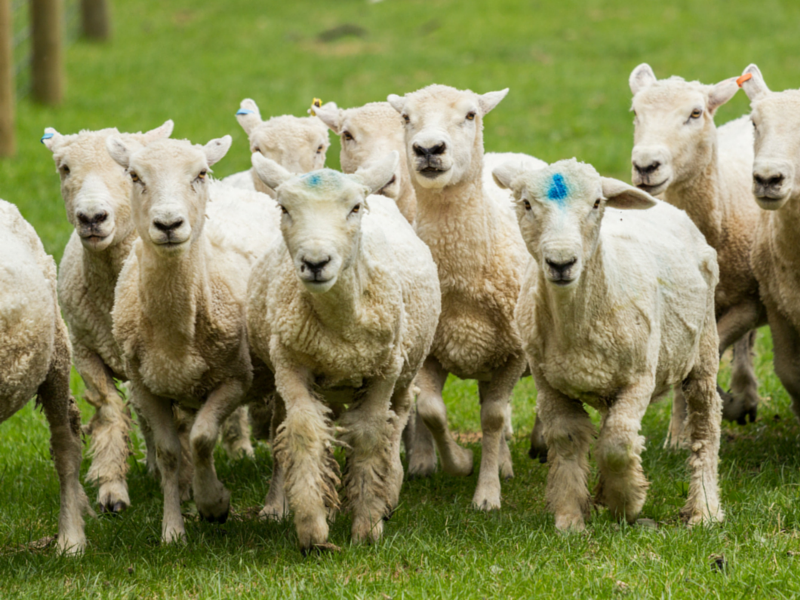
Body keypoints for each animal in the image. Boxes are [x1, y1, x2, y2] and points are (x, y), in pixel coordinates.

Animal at [107, 134, 277, 543]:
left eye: (199, 174)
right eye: (134, 176)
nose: (168, 224)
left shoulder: (236, 377)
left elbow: (201, 437)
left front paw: (214, 503)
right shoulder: (145, 386)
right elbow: (169, 453)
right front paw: (173, 530)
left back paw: (275, 507)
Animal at [247, 151, 441, 551]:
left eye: (354, 208)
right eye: (284, 208)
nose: (316, 263)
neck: (340, 329)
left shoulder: (383, 372)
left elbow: (369, 435)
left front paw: (367, 525)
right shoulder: (290, 364)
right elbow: (303, 432)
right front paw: (312, 526)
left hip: (404, 370)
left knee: (395, 422)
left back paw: (389, 492)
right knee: (281, 430)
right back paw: (277, 505)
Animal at [386, 84, 547, 509]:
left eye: (471, 114)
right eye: (405, 117)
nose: (428, 149)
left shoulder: (512, 354)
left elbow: (492, 418)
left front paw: (487, 493)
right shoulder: (432, 349)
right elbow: (431, 410)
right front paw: (459, 462)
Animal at [493, 158, 724, 530]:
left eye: (596, 204)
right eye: (526, 204)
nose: (561, 263)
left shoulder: (640, 378)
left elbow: (618, 442)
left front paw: (626, 502)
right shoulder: (549, 385)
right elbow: (568, 439)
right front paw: (571, 517)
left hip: (702, 347)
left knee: (705, 425)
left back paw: (704, 508)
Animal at [629, 64, 766, 443]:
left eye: (695, 113)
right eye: (635, 113)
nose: (645, 165)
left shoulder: (751, 302)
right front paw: (678, 436)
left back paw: (743, 395)